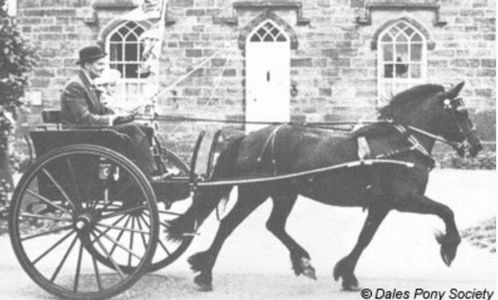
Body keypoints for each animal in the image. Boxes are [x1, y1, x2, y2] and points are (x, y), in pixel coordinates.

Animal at [167, 82, 482, 290]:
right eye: (461, 112)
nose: (477, 145)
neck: (399, 144)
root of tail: (248, 137)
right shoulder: (405, 200)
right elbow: (447, 211)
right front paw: (449, 248)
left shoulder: (381, 205)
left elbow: (364, 238)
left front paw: (347, 273)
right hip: (256, 192)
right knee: (228, 224)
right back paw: (205, 272)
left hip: (284, 193)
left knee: (274, 225)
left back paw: (302, 261)